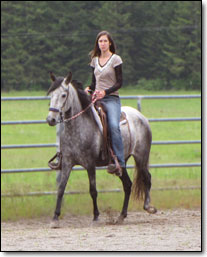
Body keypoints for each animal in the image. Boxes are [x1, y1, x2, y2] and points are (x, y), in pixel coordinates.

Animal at [46, 71, 156, 225]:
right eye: (51, 94)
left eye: (63, 95)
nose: (51, 119)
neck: (77, 128)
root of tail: (142, 117)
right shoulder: (67, 162)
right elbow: (61, 189)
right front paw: (55, 217)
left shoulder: (90, 164)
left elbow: (93, 190)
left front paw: (96, 216)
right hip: (121, 162)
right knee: (128, 185)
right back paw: (121, 216)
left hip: (141, 157)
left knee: (147, 178)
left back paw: (148, 207)